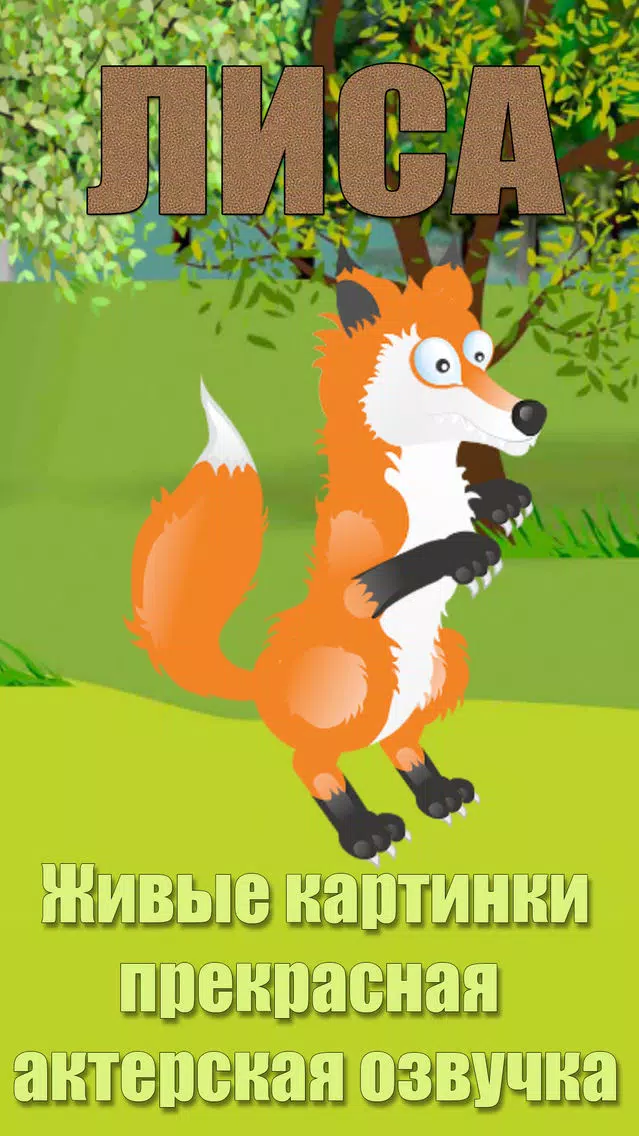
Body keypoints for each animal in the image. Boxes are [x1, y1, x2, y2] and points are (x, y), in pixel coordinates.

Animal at [128, 247, 547, 862]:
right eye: (440, 366)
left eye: (480, 354)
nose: (530, 413)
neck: (424, 490)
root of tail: (263, 680)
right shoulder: (355, 583)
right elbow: (404, 565)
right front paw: (466, 553)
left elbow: (478, 497)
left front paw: (504, 501)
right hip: (357, 673)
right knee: (314, 763)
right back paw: (364, 831)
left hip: (445, 663)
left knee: (400, 742)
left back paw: (437, 793)